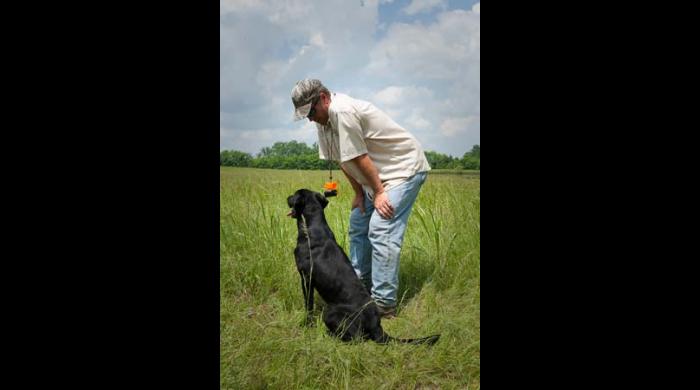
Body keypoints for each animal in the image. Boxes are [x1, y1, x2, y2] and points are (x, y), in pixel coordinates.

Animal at [284, 189, 438, 344]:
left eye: (294, 195)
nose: (288, 197)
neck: (312, 228)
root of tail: (376, 326)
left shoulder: (306, 278)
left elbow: (308, 304)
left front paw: (306, 324)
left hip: (330, 312)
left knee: (357, 337)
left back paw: (330, 335)